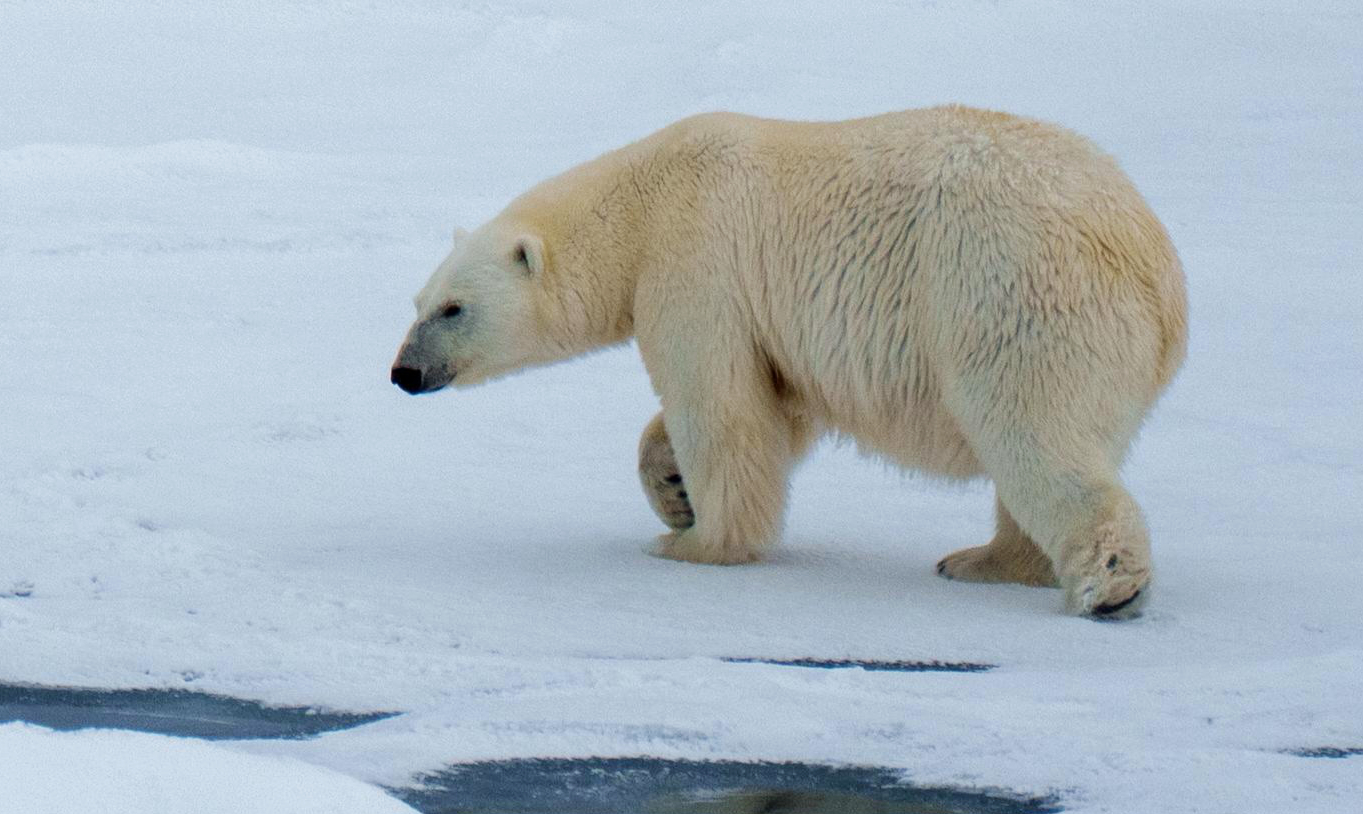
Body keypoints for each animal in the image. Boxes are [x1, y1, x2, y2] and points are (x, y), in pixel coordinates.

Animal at [391, 106, 1187, 617]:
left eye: (452, 309)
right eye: (417, 301)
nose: (403, 373)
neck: (643, 200)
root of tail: (1156, 270)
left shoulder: (697, 260)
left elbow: (721, 409)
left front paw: (695, 543)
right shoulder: (770, 320)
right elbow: (778, 405)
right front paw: (672, 489)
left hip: (1013, 300)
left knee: (1032, 432)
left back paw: (1103, 586)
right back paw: (987, 560)